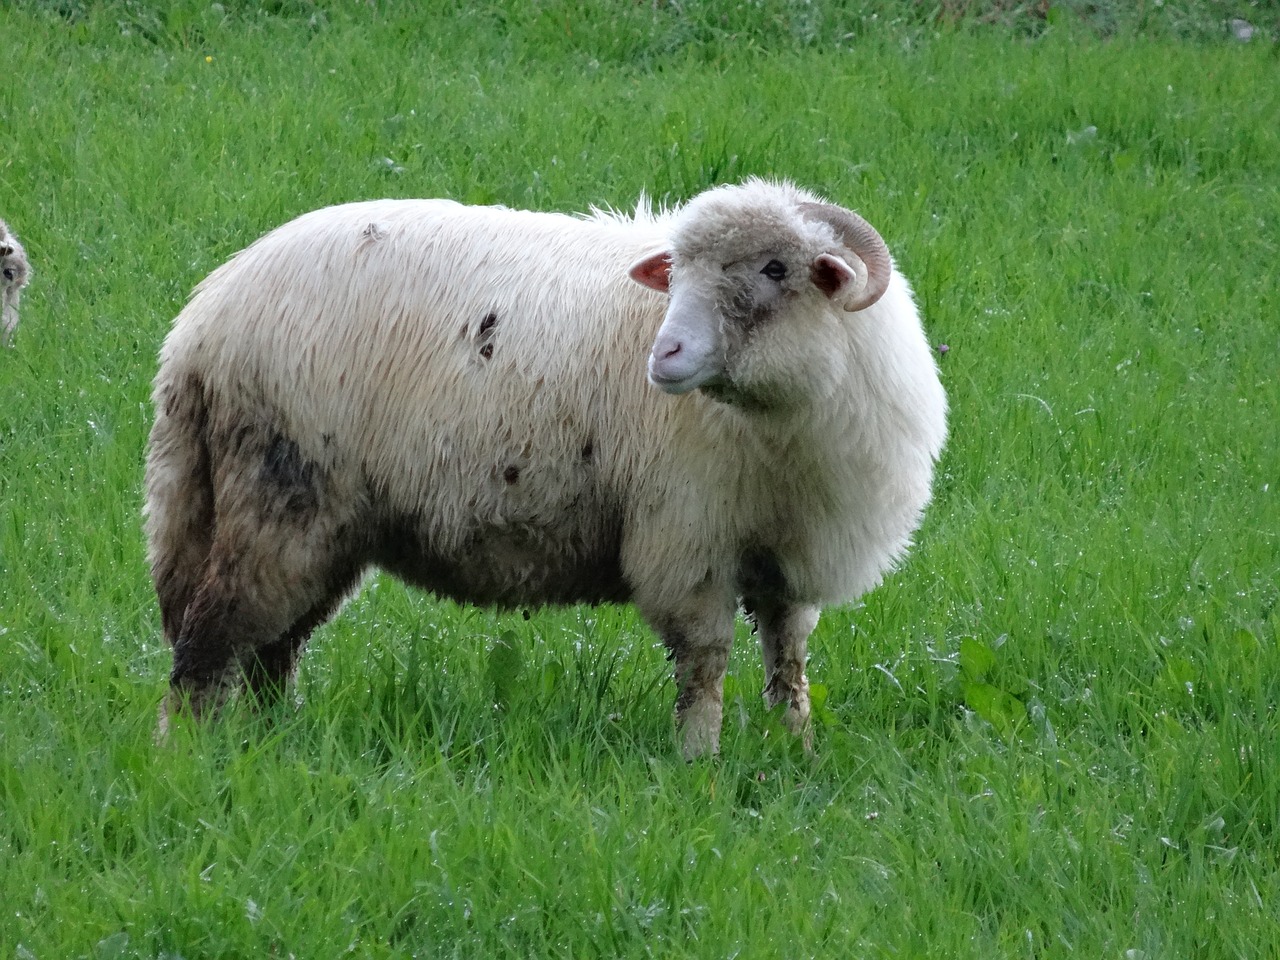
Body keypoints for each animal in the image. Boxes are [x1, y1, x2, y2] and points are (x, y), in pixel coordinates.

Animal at [147, 181, 952, 757]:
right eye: (675, 274)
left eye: (776, 268)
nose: (664, 356)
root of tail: (201, 322)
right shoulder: (686, 543)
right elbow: (705, 665)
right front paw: (699, 765)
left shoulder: (790, 557)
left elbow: (789, 663)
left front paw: (797, 752)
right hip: (280, 497)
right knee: (212, 638)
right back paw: (189, 755)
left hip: (324, 524)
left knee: (273, 649)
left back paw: (275, 742)